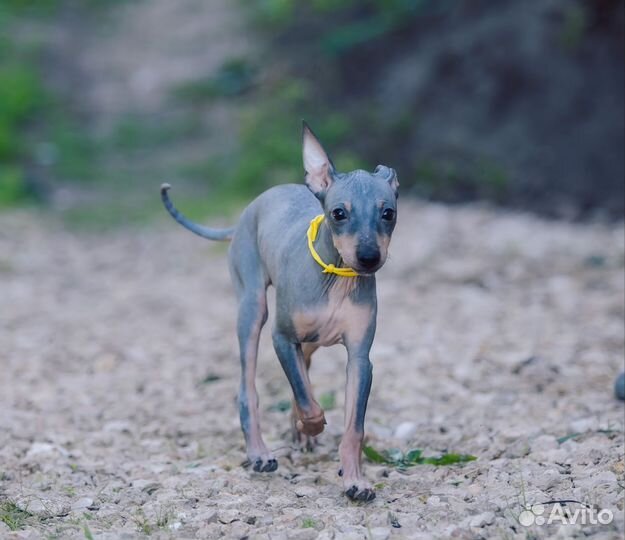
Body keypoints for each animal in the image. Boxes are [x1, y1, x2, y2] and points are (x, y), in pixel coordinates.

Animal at [158, 122, 398, 502]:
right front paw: (312, 424)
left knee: (303, 374)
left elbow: (352, 426)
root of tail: (250, 209)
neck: (336, 279)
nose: (369, 258)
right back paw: (260, 452)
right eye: (339, 213)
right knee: (249, 391)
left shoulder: (360, 359)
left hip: (309, 341)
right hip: (252, 311)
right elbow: (307, 399)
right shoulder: (282, 338)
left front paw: (355, 480)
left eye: (388, 213)